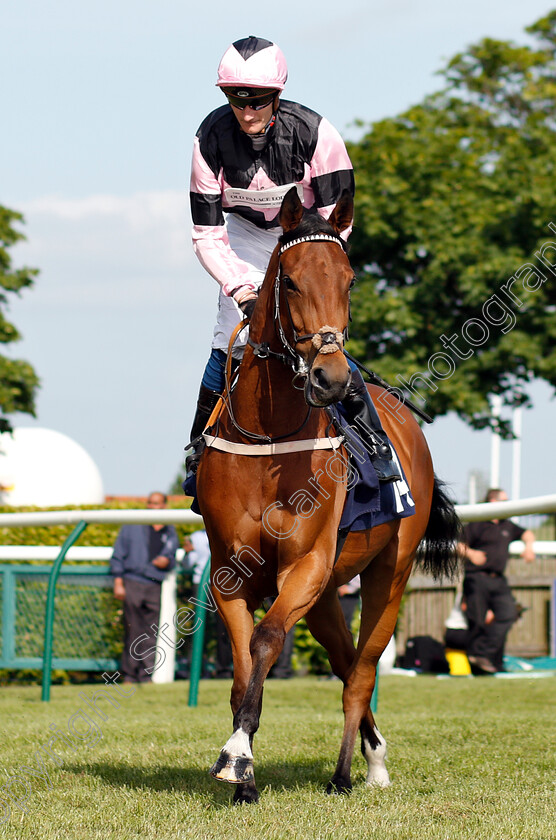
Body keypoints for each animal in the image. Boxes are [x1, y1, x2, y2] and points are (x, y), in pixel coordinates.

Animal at [197, 187, 460, 804]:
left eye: (350, 279)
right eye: (290, 280)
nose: (331, 377)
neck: (270, 437)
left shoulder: (306, 566)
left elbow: (267, 641)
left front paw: (237, 753)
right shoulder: (230, 573)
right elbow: (242, 669)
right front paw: (243, 772)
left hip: (389, 574)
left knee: (361, 671)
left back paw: (356, 771)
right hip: (324, 599)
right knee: (343, 662)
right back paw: (369, 753)